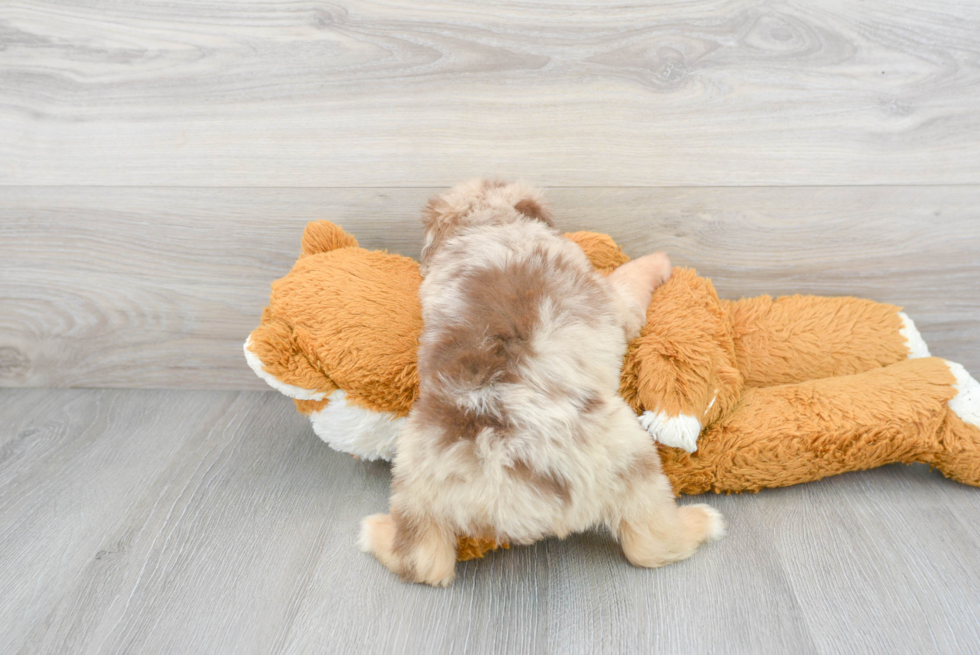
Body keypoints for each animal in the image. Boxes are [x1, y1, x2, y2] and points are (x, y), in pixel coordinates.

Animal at [358, 181, 720, 588]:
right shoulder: (616, 301)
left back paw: (375, 533)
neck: (489, 226)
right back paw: (701, 522)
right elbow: (633, 274)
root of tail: (500, 479)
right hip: (631, 457)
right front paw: (660, 259)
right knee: (651, 543)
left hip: (413, 486)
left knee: (424, 562)